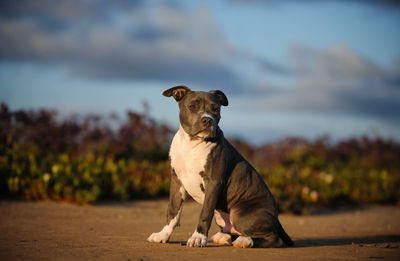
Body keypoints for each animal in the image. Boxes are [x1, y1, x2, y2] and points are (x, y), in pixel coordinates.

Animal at [147, 86, 294, 248]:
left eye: (216, 109)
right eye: (192, 106)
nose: (207, 119)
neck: (191, 144)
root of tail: (276, 218)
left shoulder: (213, 182)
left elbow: (205, 213)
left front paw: (198, 237)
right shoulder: (177, 181)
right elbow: (173, 211)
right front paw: (163, 235)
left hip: (240, 215)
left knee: (274, 239)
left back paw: (245, 240)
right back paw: (225, 237)